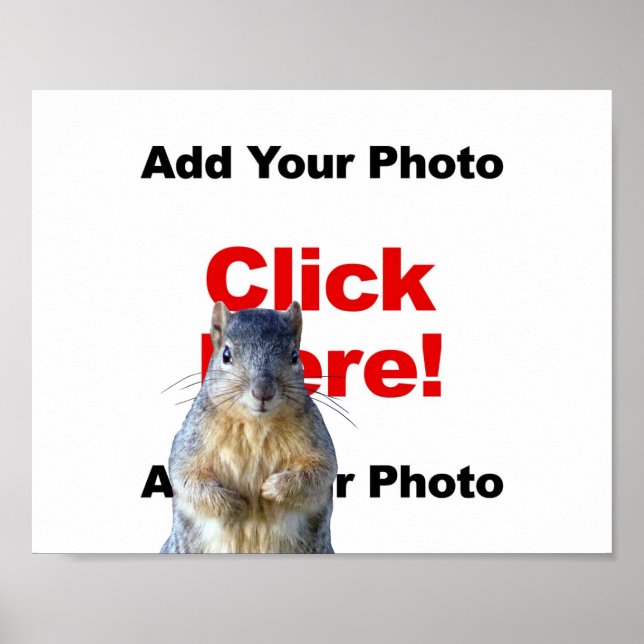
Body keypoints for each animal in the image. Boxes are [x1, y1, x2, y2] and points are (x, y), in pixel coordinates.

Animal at [161, 301, 338, 553]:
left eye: (294, 356)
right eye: (226, 354)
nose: (263, 391)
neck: (256, 424)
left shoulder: (317, 440)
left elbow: (321, 472)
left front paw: (271, 488)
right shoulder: (191, 443)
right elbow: (186, 478)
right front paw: (232, 503)